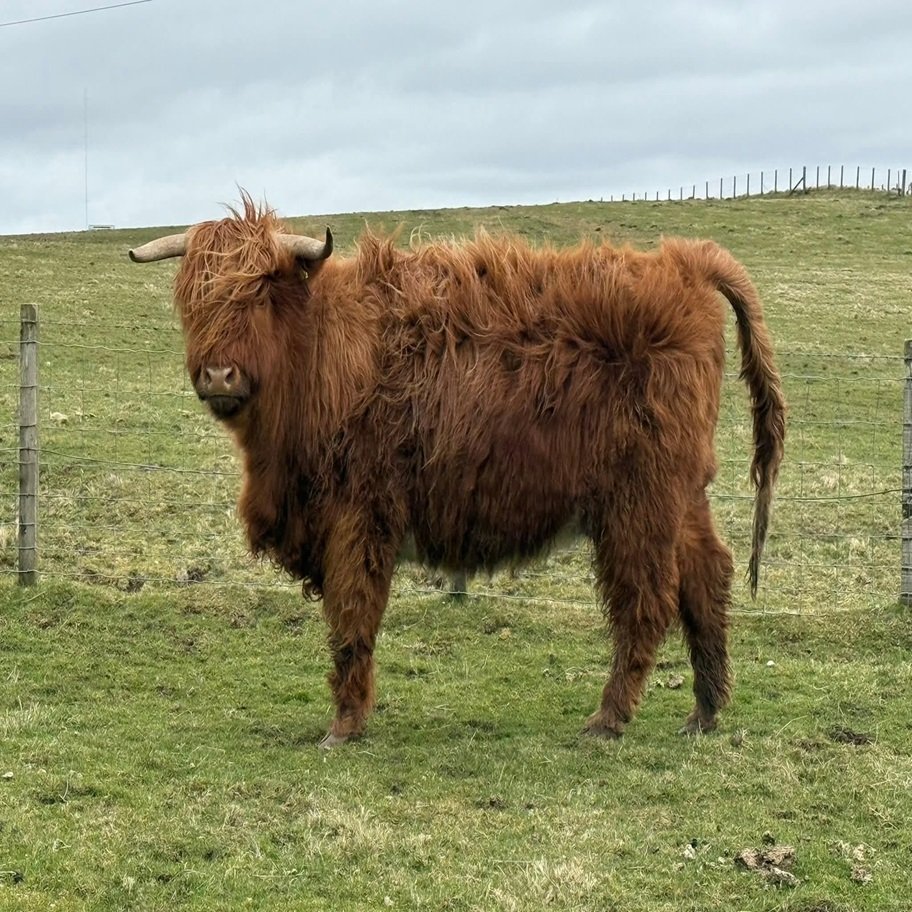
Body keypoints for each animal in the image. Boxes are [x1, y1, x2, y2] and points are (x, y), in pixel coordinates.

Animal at [129, 195, 786, 748]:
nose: (219, 375)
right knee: (707, 574)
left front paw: (345, 724)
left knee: (647, 600)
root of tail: (683, 262)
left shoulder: (359, 513)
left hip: (639, 501)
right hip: (681, 494)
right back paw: (704, 710)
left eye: (261, 290)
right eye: (193, 299)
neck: (315, 351)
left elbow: (352, 613)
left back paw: (609, 717)